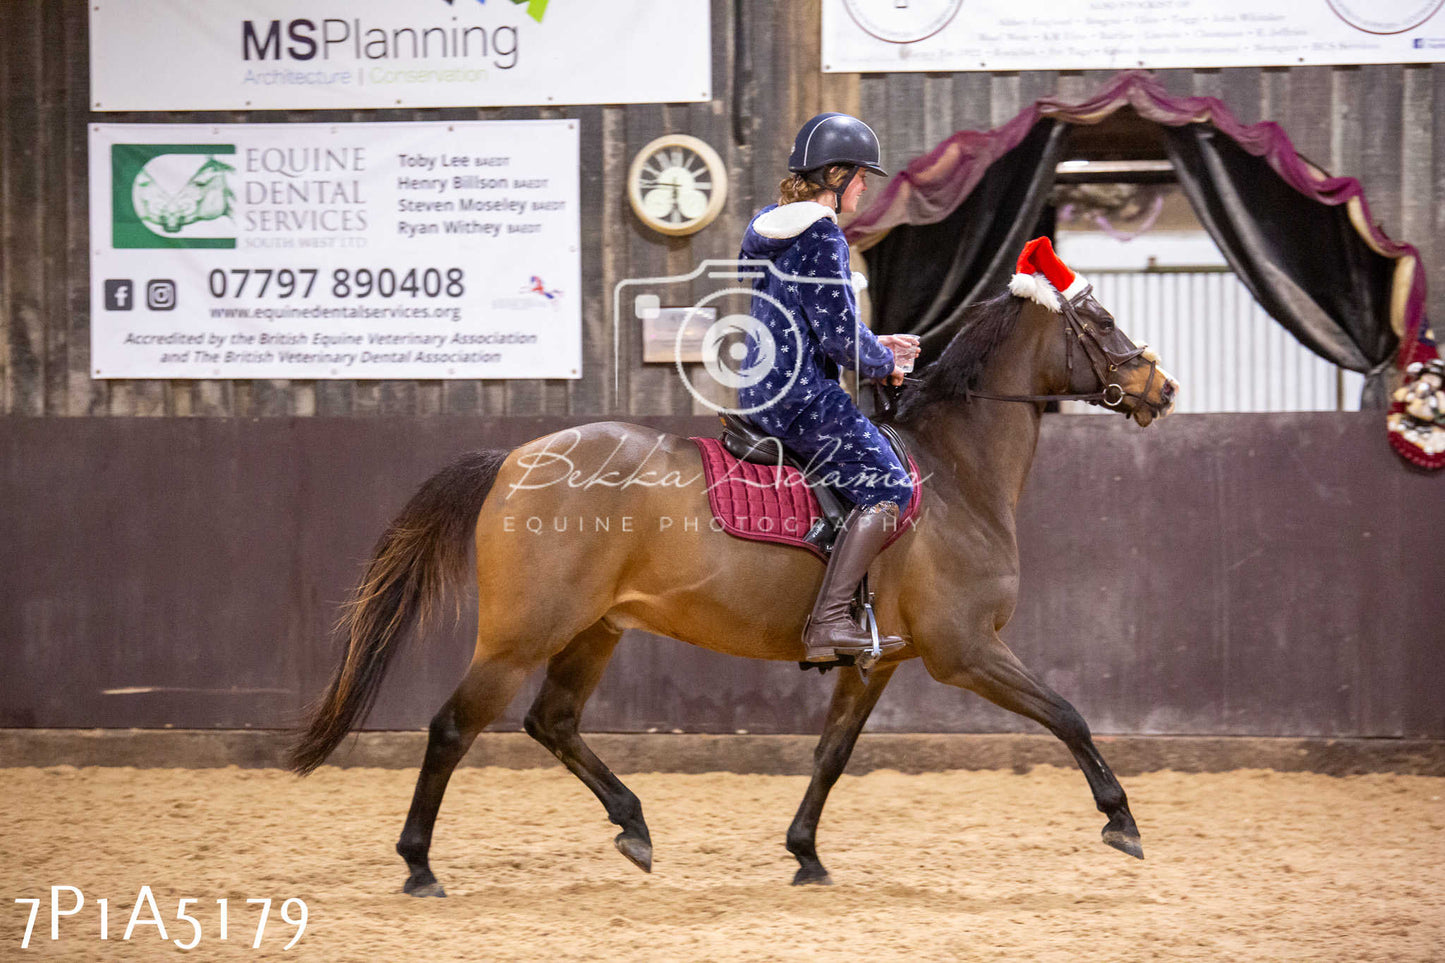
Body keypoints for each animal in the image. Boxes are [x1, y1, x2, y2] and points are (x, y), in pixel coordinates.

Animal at [290, 273, 1173, 890]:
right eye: (1100, 322)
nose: (1159, 388)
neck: (955, 472)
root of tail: (514, 459)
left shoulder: (877, 662)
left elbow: (831, 754)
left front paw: (805, 853)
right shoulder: (965, 651)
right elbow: (1067, 714)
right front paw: (1121, 820)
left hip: (593, 631)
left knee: (553, 721)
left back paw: (634, 826)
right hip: (520, 637)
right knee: (453, 727)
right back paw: (418, 864)